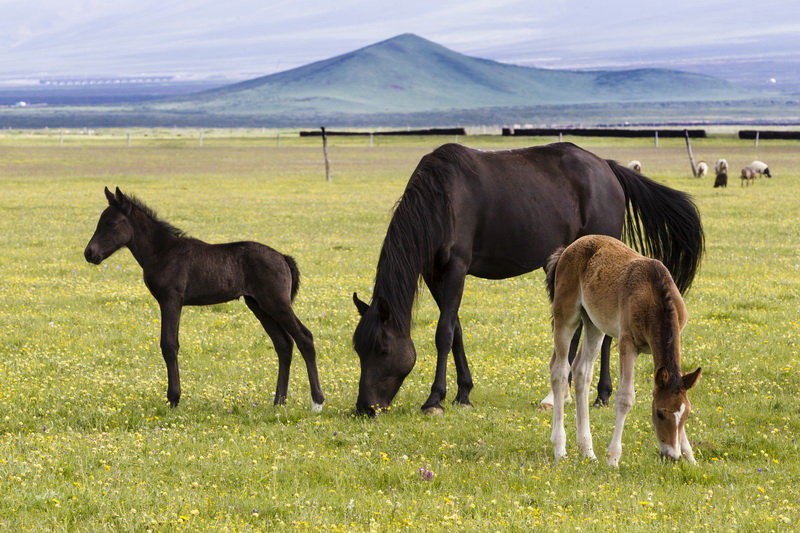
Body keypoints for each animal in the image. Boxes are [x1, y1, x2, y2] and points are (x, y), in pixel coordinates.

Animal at [84, 185, 324, 410]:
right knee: (283, 344)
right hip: (258, 305)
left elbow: (169, 344)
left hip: (276, 303)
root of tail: (283, 258)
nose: (89, 253)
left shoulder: (171, 300)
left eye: (112, 223)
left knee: (304, 337)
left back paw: (317, 402)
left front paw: (173, 399)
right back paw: (278, 402)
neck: (163, 252)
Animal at [354, 142, 704, 416]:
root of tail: (607, 167)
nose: (364, 407)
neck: (441, 199)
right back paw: (566, 391)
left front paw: (434, 399)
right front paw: (464, 393)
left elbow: (443, 333)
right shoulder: (434, 273)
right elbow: (456, 332)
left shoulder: (455, 269)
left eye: (382, 349)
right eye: (358, 349)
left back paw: (601, 394)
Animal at [544, 235, 700, 464]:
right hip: (566, 315)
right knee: (560, 370)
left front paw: (690, 457)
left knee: (582, 371)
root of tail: (568, 249)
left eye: (686, 415)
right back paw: (560, 448)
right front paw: (613, 458)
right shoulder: (628, 343)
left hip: (594, 324)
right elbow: (625, 398)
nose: (671, 456)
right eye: (659, 413)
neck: (654, 295)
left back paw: (587, 451)